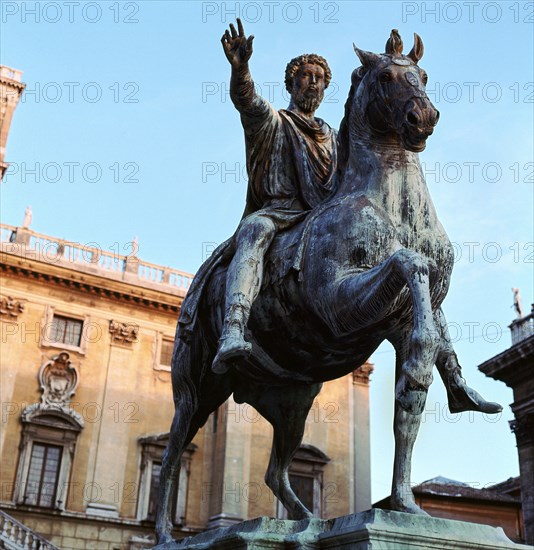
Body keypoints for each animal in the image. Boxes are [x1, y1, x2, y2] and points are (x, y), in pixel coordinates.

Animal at [157, 29, 500, 544]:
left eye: (421, 75)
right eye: (386, 76)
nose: (424, 117)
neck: (389, 204)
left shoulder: (411, 315)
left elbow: (411, 398)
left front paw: (404, 505)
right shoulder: (338, 304)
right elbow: (408, 262)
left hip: (292, 403)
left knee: (275, 472)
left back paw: (303, 522)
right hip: (195, 389)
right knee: (172, 455)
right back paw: (163, 533)